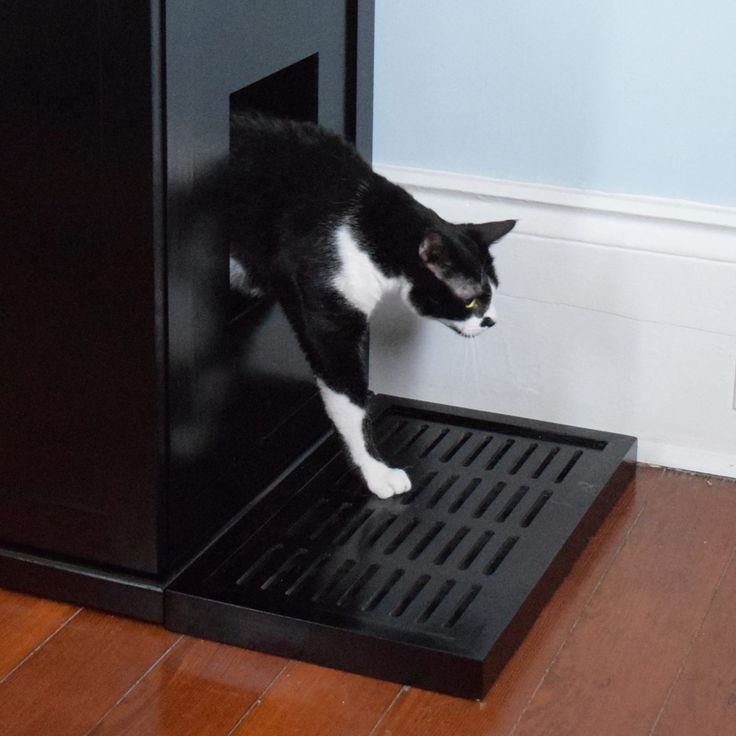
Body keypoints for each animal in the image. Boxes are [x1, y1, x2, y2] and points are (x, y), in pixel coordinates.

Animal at [229, 116, 512, 500]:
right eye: (472, 300)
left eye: (493, 293)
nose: (492, 321)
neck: (369, 230)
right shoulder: (331, 309)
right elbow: (350, 400)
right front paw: (376, 472)